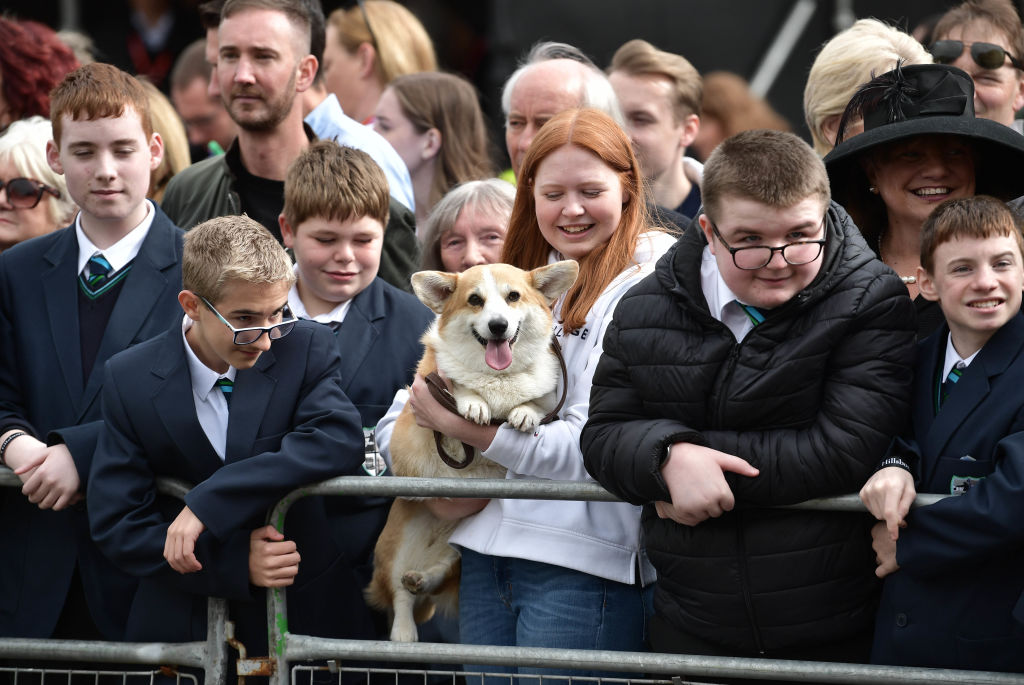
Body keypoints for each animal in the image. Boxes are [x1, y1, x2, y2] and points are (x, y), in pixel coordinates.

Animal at [366, 260, 577, 643]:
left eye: (513, 297)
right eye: (475, 300)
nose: (498, 326)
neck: (500, 377)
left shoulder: (547, 397)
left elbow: (536, 404)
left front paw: (523, 413)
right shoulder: (427, 392)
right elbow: (458, 385)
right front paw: (473, 403)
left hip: (458, 552)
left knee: (435, 573)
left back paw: (423, 578)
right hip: (397, 543)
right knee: (400, 593)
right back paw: (404, 630)